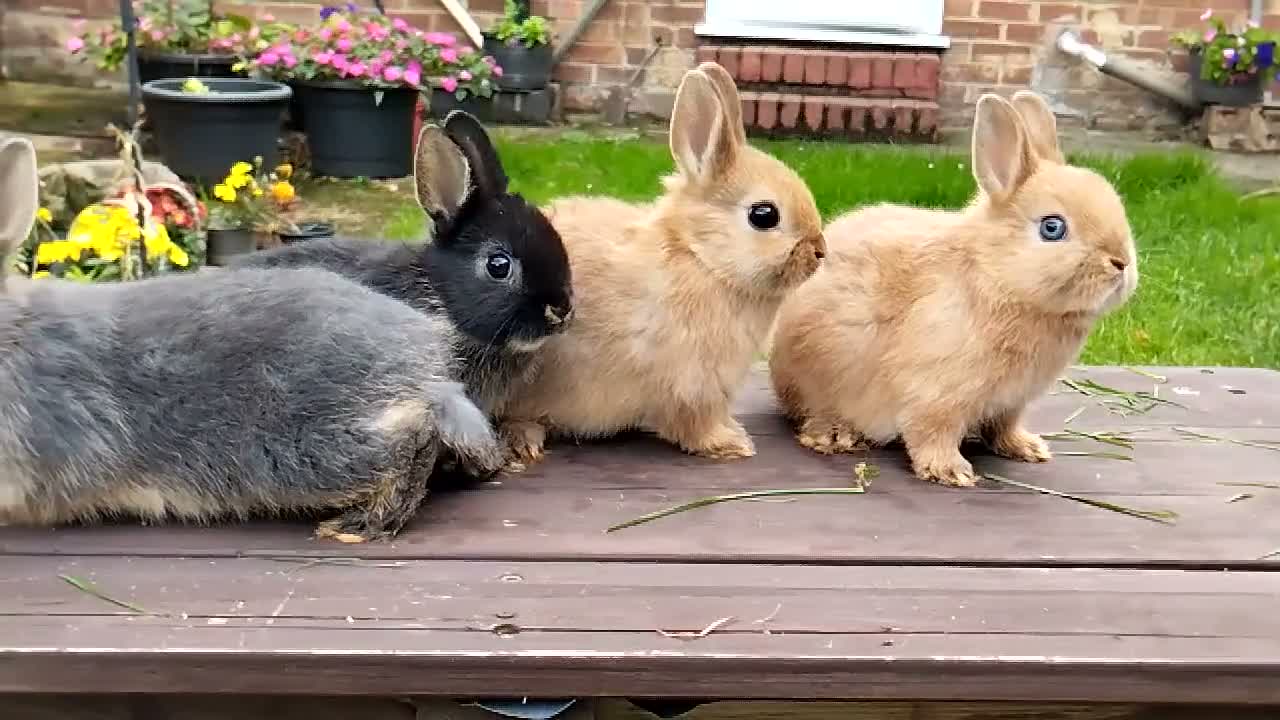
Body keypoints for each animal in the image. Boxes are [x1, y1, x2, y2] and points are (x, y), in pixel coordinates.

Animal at [498, 62, 827, 469]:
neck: (702, 260)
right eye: (763, 215)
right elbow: (694, 423)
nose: (820, 251)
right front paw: (731, 444)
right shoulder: (693, 384)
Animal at [768, 91, 1139, 488]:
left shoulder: (1011, 403)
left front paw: (1028, 448)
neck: (994, 276)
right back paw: (835, 435)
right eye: (1052, 227)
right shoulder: (937, 393)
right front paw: (951, 471)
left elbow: (1004, 428)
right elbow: (932, 432)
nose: (1121, 263)